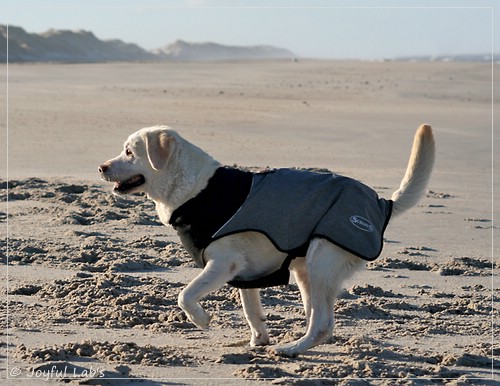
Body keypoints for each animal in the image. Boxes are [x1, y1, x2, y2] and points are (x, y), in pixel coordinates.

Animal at [97, 125, 434, 358]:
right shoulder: (245, 273)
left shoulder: (222, 263)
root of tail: (382, 204)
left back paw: (291, 350)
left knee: (323, 323)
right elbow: (251, 310)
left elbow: (185, 294)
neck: (196, 189)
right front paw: (258, 338)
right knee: (319, 320)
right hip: (305, 271)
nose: (101, 167)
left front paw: (201, 320)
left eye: (130, 152)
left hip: (321, 262)